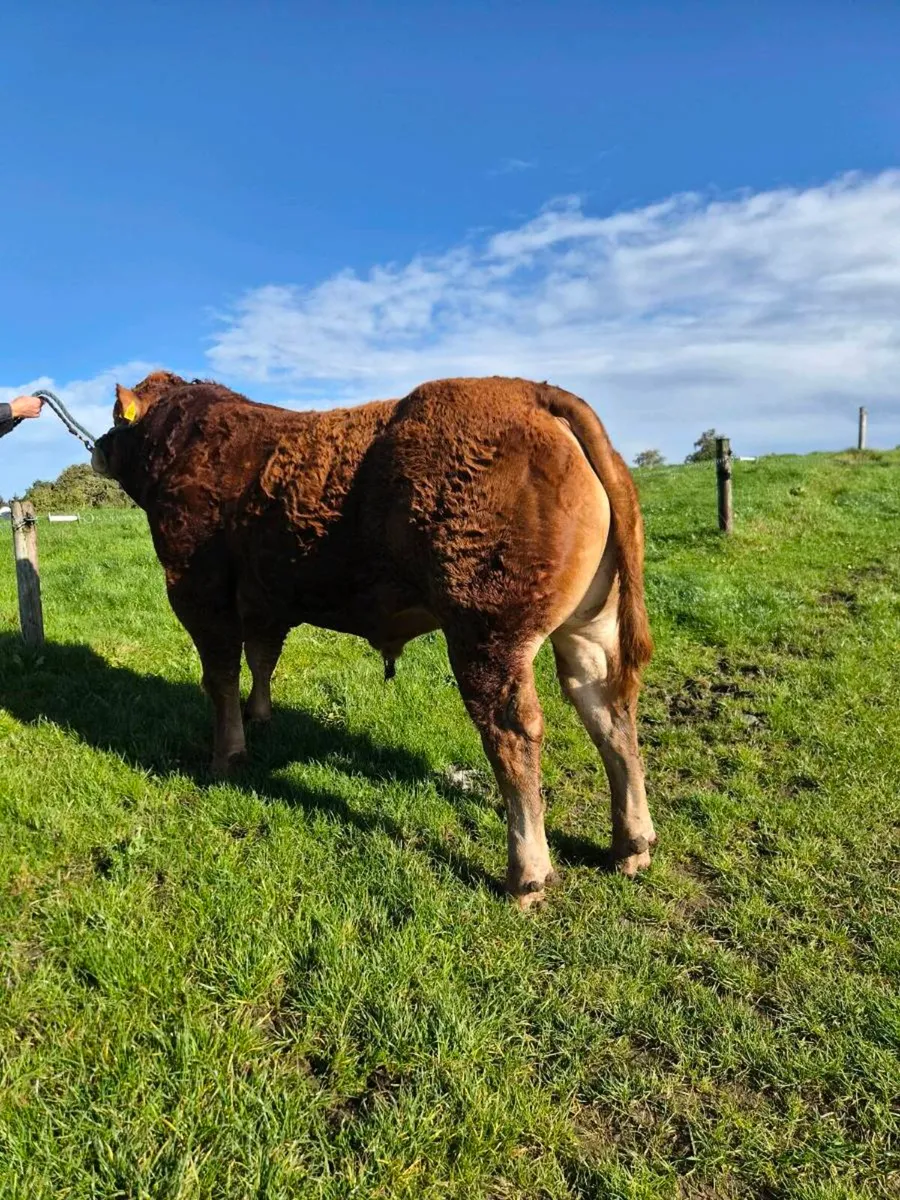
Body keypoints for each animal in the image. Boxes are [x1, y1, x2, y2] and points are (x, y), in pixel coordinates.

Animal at [92, 372, 656, 907]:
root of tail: (531, 392)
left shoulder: (199, 593)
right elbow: (262, 659)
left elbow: (221, 677)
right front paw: (260, 715)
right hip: (589, 627)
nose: (97, 444)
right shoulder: (266, 600)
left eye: (118, 419)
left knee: (513, 731)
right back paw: (632, 844)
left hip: (486, 632)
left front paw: (226, 755)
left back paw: (527, 873)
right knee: (608, 708)